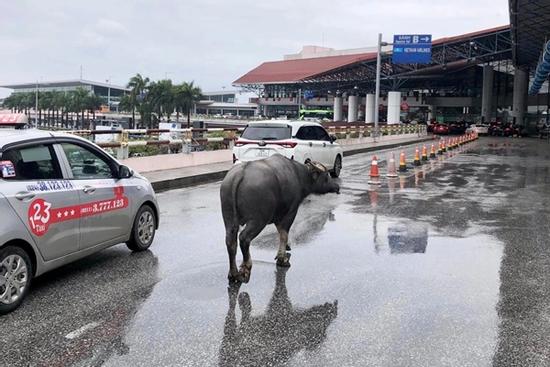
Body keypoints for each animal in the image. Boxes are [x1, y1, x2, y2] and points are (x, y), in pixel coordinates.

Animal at [220, 154, 340, 284]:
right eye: (326, 175)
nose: (337, 187)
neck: (298, 175)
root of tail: (240, 174)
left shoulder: (278, 217)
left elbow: (281, 233)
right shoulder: (290, 213)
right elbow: (284, 234)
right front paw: (282, 259)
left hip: (229, 219)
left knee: (230, 242)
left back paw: (233, 274)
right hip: (258, 220)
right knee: (244, 238)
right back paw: (246, 268)